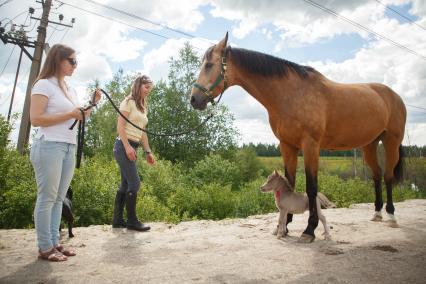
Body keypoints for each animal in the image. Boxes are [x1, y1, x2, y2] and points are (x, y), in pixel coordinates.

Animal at [191, 33, 408, 242]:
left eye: (209, 65)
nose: (194, 99)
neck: (290, 94)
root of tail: (394, 96)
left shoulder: (310, 145)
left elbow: (311, 188)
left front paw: (309, 230)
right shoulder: (287, 145)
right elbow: (291, 183)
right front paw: (285, 227)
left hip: (391, 142)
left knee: (387, 176)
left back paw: (391, 216)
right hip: (369, 145)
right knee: (377, 175)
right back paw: (377, 213)